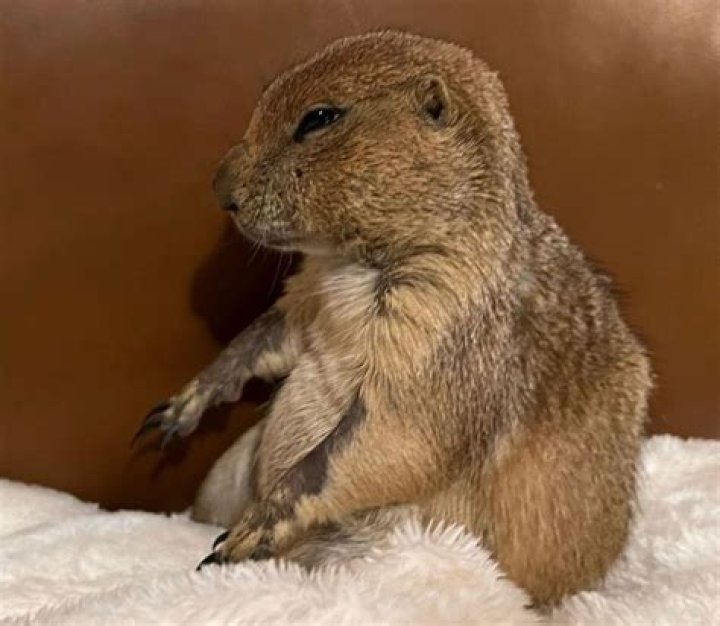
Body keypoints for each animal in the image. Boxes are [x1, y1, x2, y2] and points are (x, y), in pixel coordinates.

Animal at [135, 31, 651, 606]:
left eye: (319, 118)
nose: (219, 188)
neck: (349, 264)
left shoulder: (444, 331)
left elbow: (381, 441)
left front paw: (250, 531)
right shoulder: (310, 292)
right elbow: (268, 333)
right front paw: (177, 409)